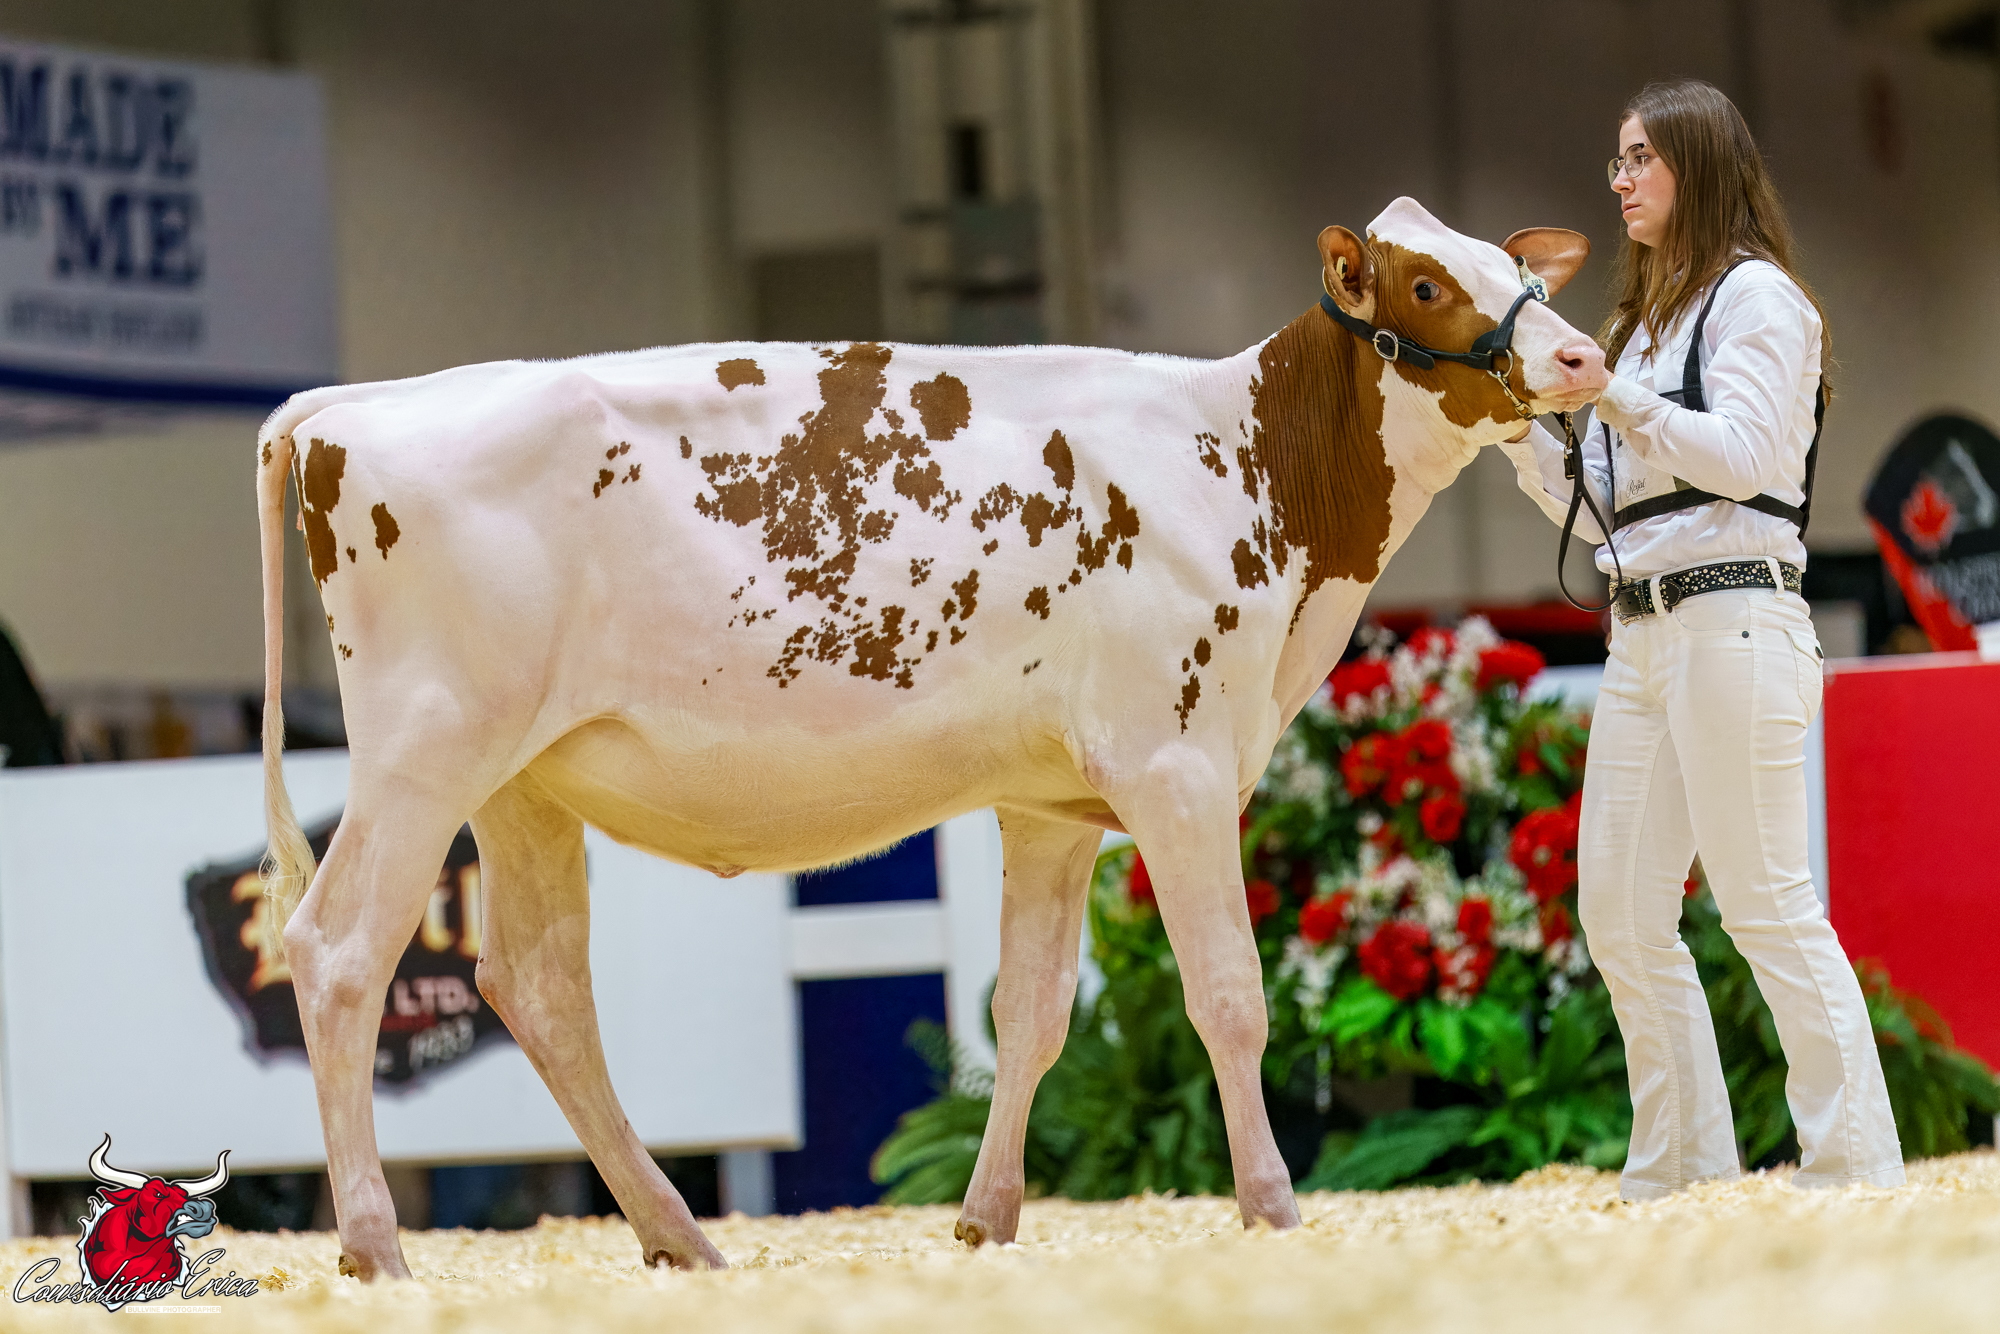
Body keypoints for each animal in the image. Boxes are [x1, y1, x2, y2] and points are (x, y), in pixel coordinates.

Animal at [254, 197, 1605, 1280]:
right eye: (1425, 285)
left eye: (1518, 267)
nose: (1583, 353)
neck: (1244, 462)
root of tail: (353, 406)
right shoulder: (1174, 767)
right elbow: (1228, 995)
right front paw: (1271, 1208)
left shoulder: (1052, 806)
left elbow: (1031, 1010)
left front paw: (986, 1218)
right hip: (424, 753)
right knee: (336, 953)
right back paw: (375, 1246)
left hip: (521, 780)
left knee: (538, 984)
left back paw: (678, 1235)